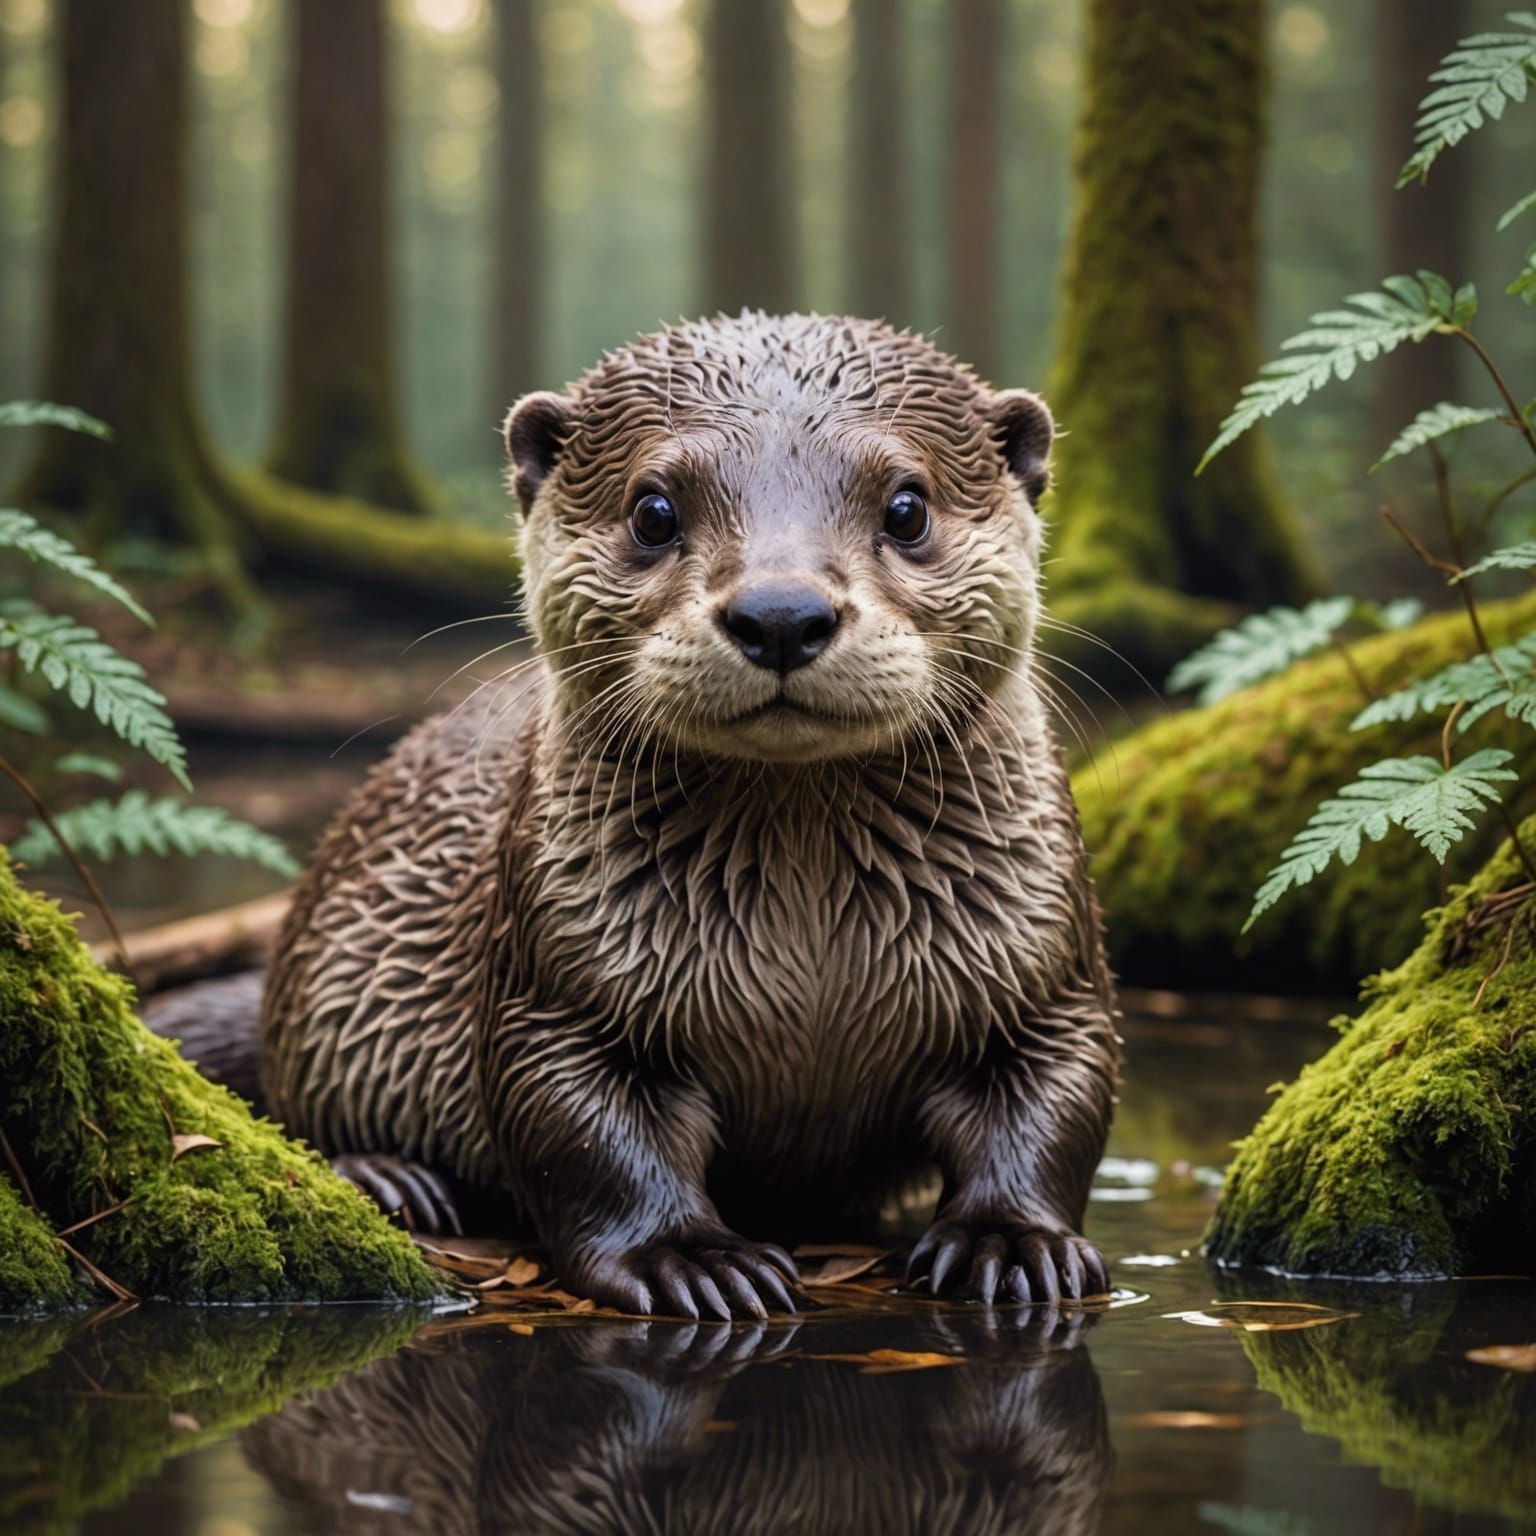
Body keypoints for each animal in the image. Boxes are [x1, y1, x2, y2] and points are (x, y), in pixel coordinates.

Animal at [260, 312, 1119, 1318]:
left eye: (908, 508)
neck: (810, 942)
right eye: (654, 512)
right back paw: (392, 1178)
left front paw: (1012, 1241)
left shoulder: (1043, 966)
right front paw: (689, 1257)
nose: (781, 611)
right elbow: (579, 1132)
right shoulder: (561, 982)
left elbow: (1057, 1095)